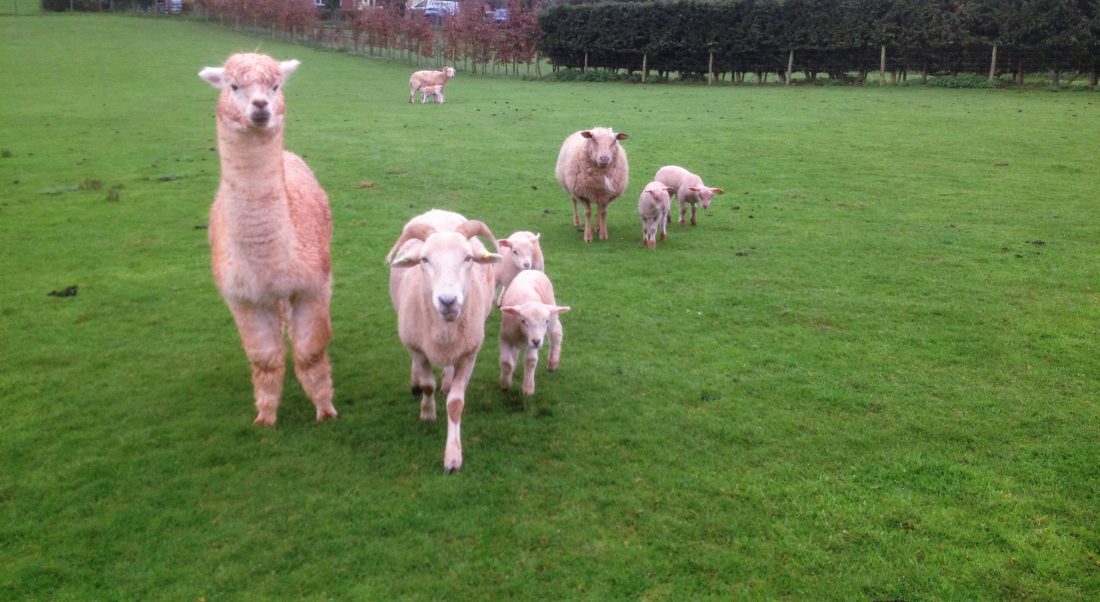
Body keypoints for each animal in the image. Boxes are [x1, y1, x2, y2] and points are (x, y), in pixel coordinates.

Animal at [198, 53, 337, 427]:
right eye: (233, 86)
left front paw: (325, 409)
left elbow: (310, 352)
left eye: (275, 86)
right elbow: (265, 359)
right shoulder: (243, 297)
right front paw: (265, 416)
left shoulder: (312, 284)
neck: (267, 260)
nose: (261, 107)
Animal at [386, 209, 502, 473]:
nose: (448, 301)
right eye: (424, 259)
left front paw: (453, 455)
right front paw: (427, 414)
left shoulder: (469, 354)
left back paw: (447, 381)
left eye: (468, 258)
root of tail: (439, 211)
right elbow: (428, 384)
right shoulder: (418, 349)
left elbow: (456, 403)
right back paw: (416, 383)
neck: (444, 330)